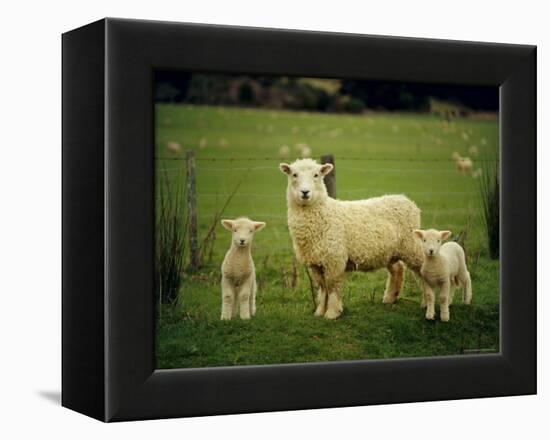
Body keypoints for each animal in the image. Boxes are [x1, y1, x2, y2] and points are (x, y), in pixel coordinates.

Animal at [280, 158, 426, 320]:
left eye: (316, 175)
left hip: (411, 245)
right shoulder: (315, 262)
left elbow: (332, 286)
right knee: (398, 269)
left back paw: (427, 303)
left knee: (424, 270)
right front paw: (319, 312)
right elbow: (323, 287)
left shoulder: (334, 259)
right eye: (294, 174)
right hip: (390, 250)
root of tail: (405, 199)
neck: (324, 213)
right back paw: (389, 298)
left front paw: (332, 313)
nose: (305, 192)